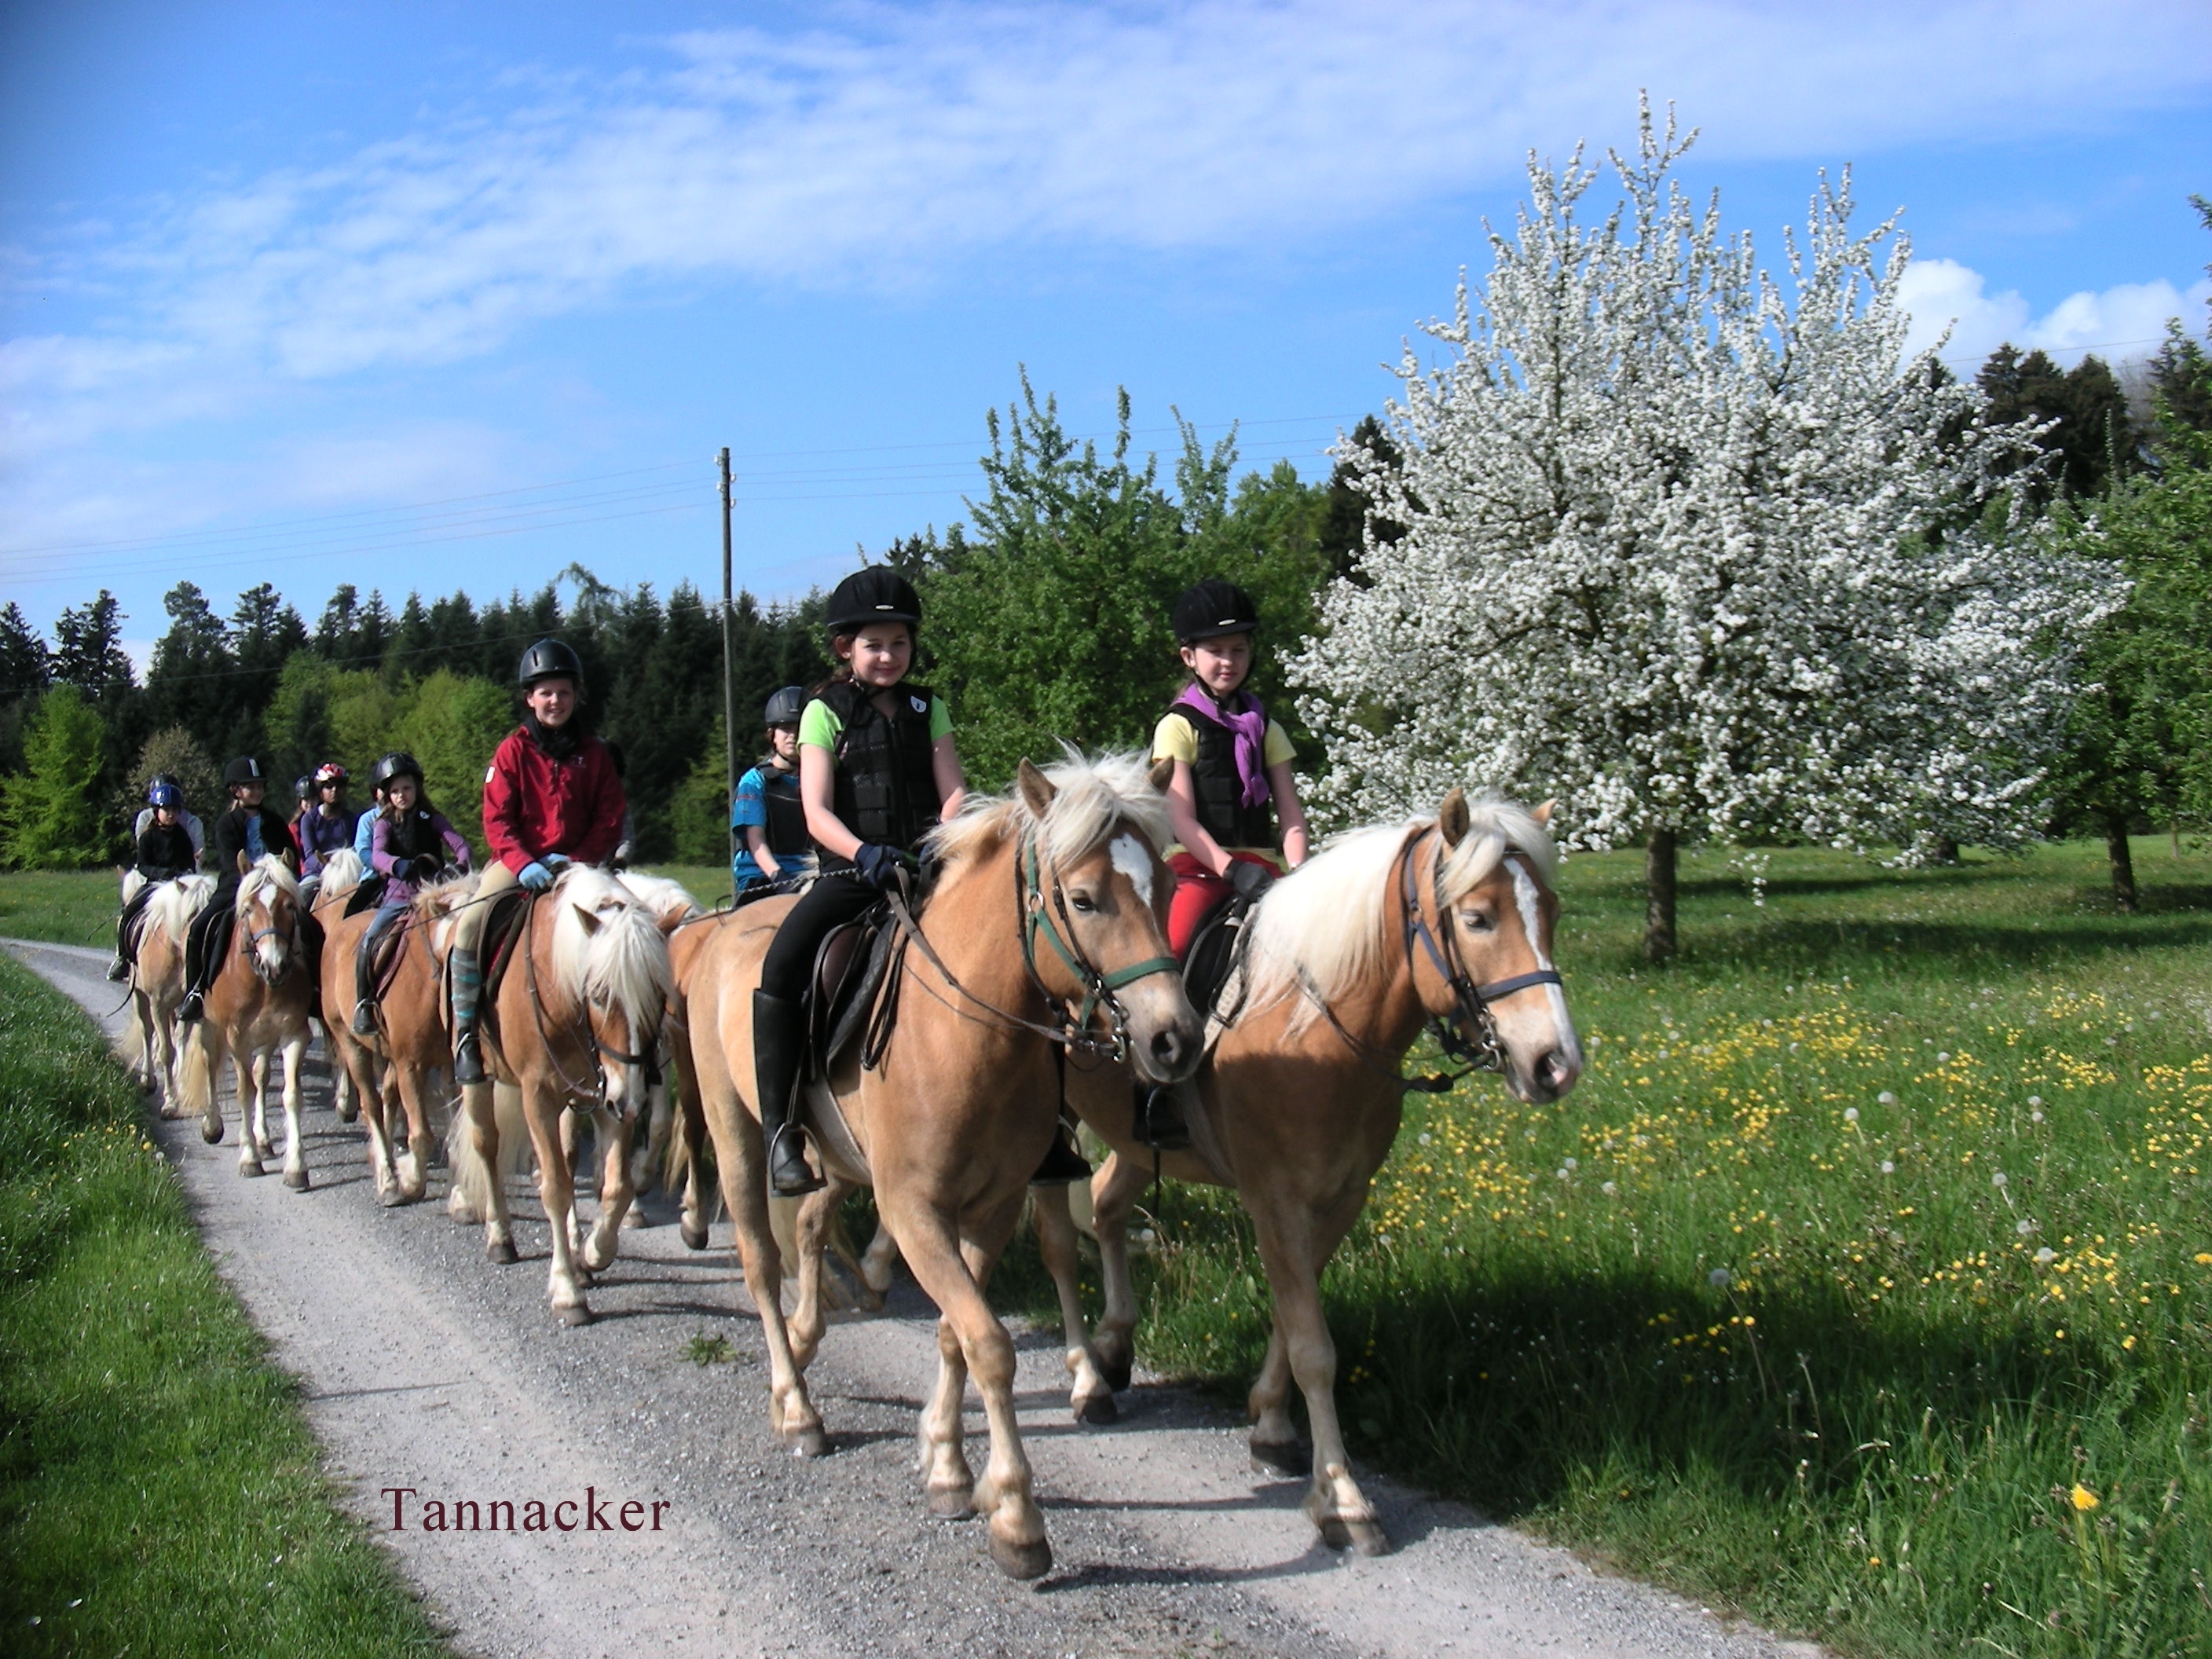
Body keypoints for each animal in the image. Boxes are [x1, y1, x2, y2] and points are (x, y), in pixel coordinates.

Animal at [178, 858, 320, 1194]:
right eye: (248, 908)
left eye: (289, 905)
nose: (275, 965)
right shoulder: (237, 1039)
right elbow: (243, 1092)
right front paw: (249, 1159)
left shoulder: (293, 1036)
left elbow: (290, 1095)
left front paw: (296, 1168)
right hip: (208, 1025)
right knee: (210, 1065)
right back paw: (213, 1125)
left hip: (267, 1038)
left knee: (261, 1075)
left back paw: (264, 1139)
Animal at [453, 871, 676, 1327]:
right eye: (600, 994)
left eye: (658, 997)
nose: (632, 1101)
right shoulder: (539, 1096)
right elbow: (555, 1187)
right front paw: (567, 1290)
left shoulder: (609, 1094)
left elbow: (616, 1186)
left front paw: (593, 1252)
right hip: (481, 1079)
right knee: (487, 1145)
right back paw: (500, 1236)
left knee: (571, 1157)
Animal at [663, 752, 1203, 1584]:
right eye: (1083, 899)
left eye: (1168, 888)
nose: (1174, 1039)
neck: (965, 1032)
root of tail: (722, 930)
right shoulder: (915, 1212)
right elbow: (990, 1344)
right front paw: (1015, 1516)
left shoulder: (989, 1207)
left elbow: (957, 1333)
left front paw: (948, 1465)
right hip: (736, 1129)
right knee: (759, 1256)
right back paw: (797, 1404)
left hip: (835, 1157)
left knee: (810, 1225)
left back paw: (811, 1336)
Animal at [1031, 792, 1574, 1557]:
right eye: (1478, 917)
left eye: (1550, 911)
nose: (1556, 1063)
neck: (1315, 1023)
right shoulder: (1277, 1201)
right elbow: (1315, 1346)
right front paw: (1343, 1499)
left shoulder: (1339, 1200)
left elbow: (1294, 1319)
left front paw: (1271, 1423)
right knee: (1056, 1241)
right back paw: (1087, 1380)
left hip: (1137, 1143)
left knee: (1105, 1208)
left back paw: (1114, 1344)